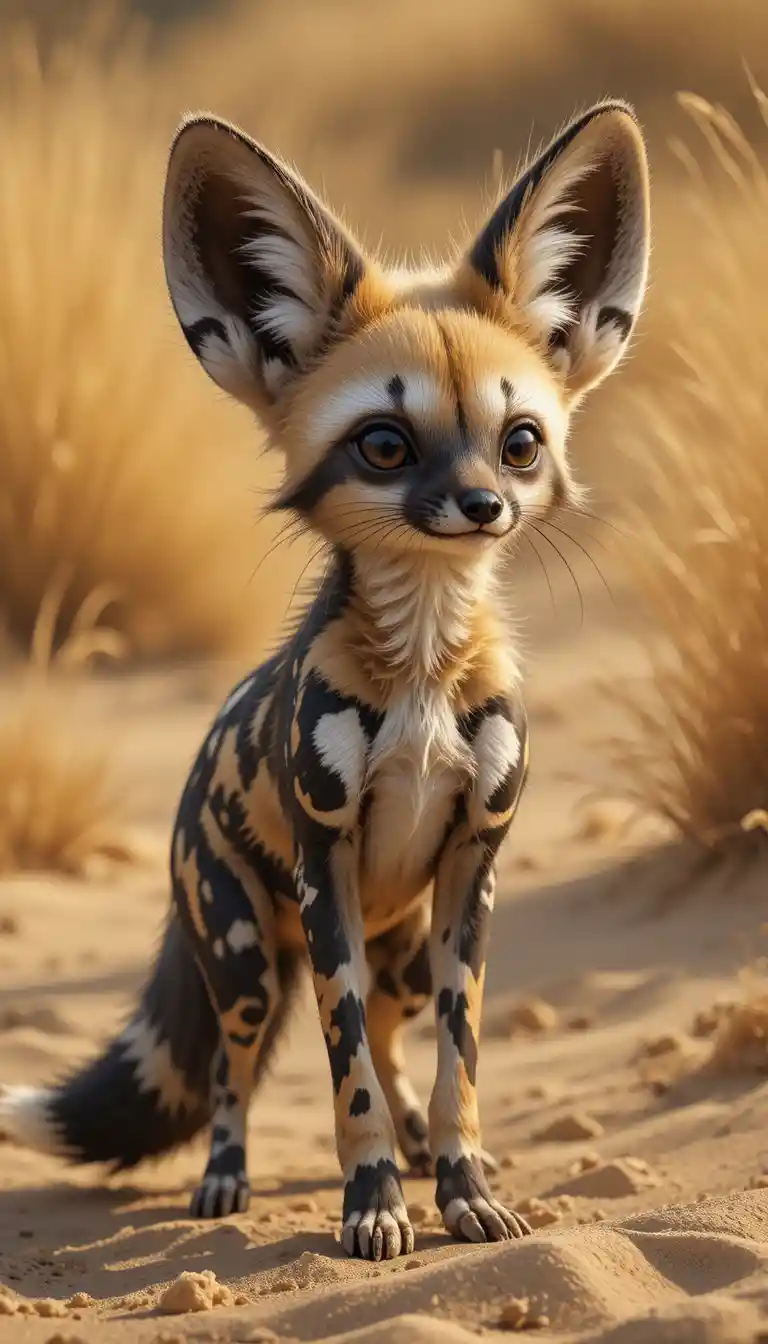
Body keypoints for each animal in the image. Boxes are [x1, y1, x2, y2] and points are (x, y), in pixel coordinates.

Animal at [0, 100, 649, 1261]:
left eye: (520, 442)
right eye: (384, 445)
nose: (482, 507)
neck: (424, 679)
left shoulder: (472, 865)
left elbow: (453, 1070)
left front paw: (462, 1190)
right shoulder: (326, 860)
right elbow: (344, 1083)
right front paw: (373, 1205)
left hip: (400, 952)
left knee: (393, 1048)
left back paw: (423, 1154)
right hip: (249, 957)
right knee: (231, 1075)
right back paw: (224, 1181)